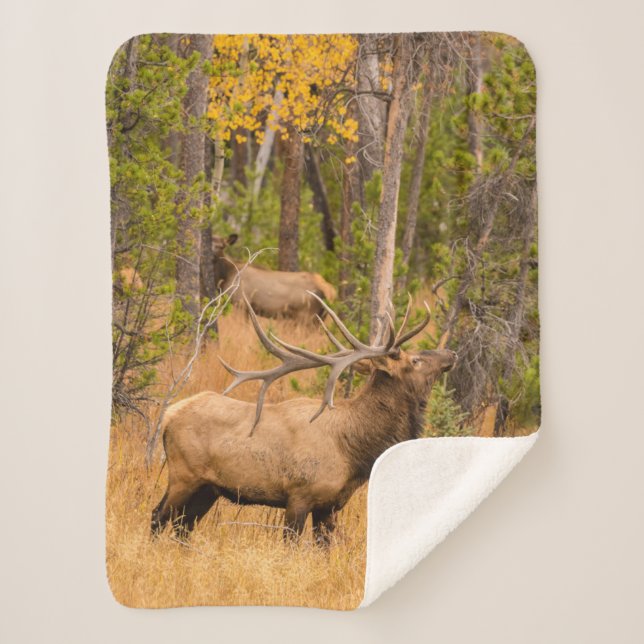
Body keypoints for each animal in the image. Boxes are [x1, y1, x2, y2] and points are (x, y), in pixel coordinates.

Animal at [151, 293, 457, 545]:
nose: (451, 353)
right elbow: (291, 545)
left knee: (183, 527)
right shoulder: (299, 494)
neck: (353, 451)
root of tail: (169, 415)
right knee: (158, 516)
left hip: (209, 488)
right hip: (183, 475)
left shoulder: (329, 506)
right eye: (415, 360)